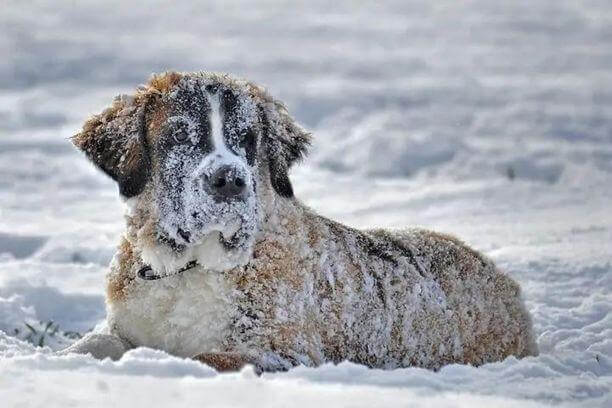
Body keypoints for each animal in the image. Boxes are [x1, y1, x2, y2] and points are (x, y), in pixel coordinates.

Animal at [62, 71, 536, 372]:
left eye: (248, 139)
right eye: (179, 135)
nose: (230, 180)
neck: (189, 267)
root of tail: (503, 281)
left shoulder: (283, 352)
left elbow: (204, 358)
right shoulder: (124, 326)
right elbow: (90, 345)